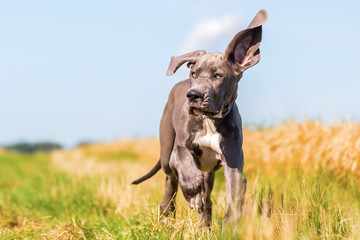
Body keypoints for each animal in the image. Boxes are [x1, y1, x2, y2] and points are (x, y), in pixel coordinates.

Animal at [132, 9, 268, 227]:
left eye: (218, 76)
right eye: (194, 73)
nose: (193, 95)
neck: (208, 120)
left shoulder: (232, 161)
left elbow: (234, 192)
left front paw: (230, 224)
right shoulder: (179, 150)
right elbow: (185, 164)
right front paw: (193, 192)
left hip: (208, 170)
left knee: (208, 198)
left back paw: (204, 225)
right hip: (166, 152)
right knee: (170, 182)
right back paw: (167, 213)